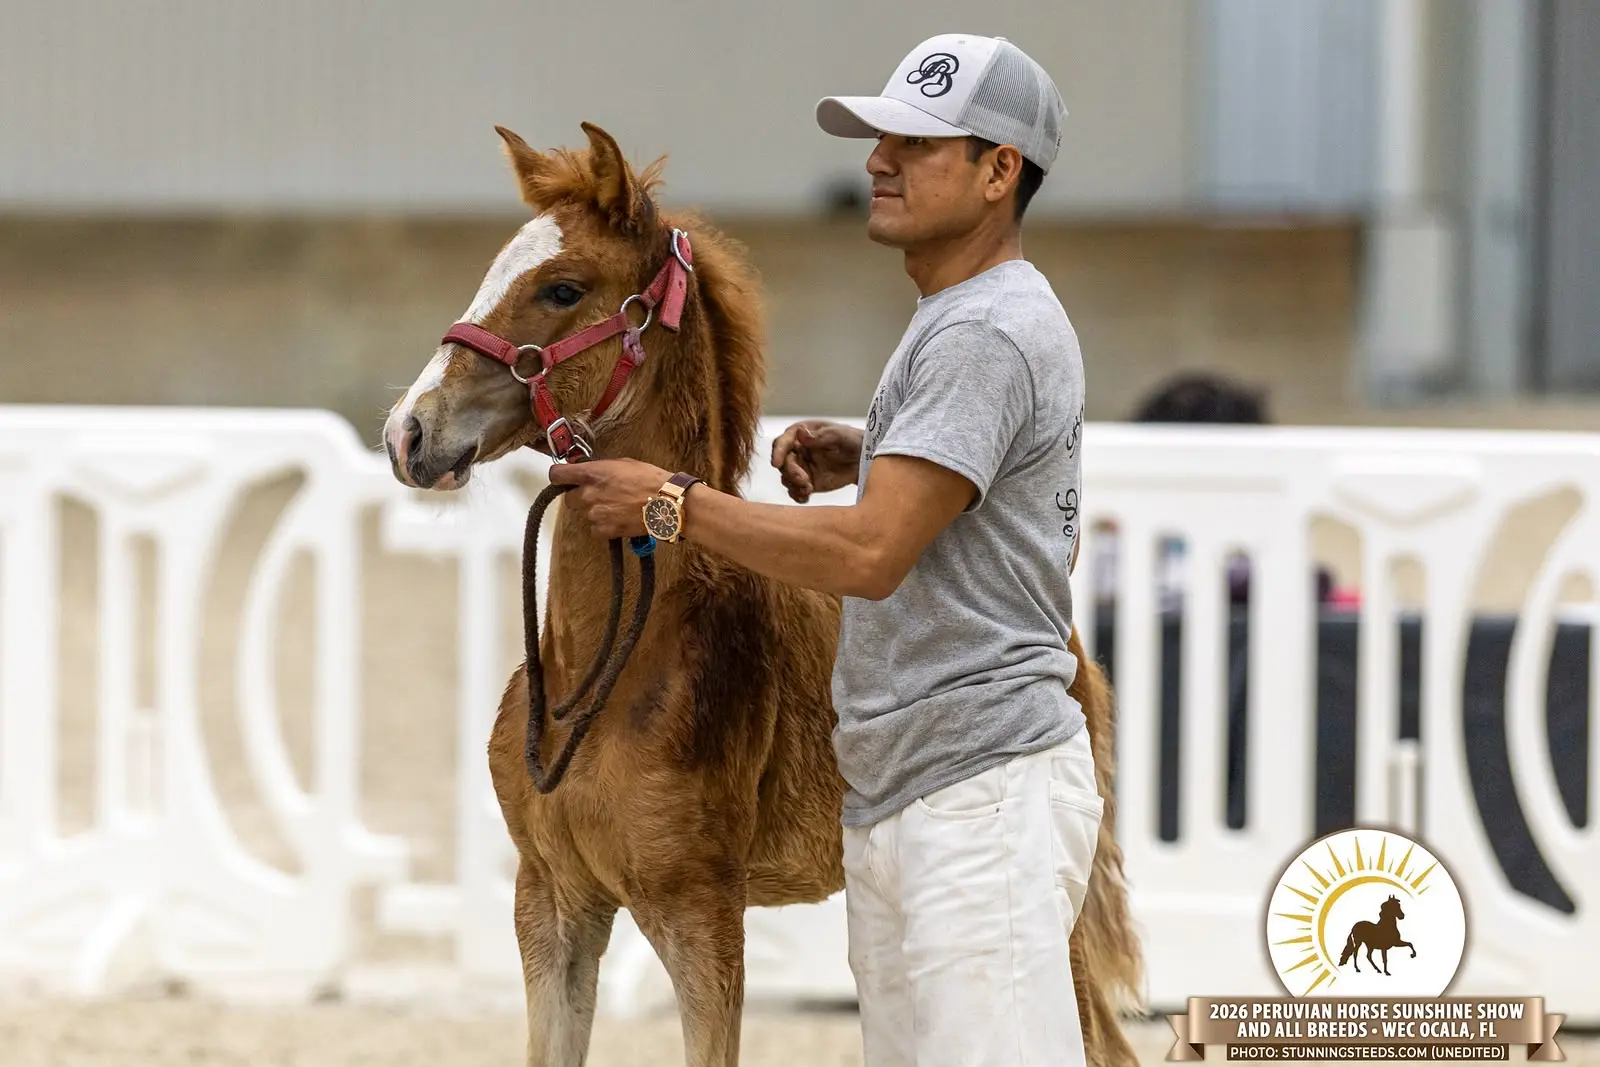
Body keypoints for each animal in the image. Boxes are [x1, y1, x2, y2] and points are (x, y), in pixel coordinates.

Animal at [382, 120, 1144, 1067]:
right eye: (492, 270)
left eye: (562, 288)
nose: (410, 431)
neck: (614, 673)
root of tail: (1075, 650)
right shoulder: (552, 902)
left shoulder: (702, 913)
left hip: (1056, 919)